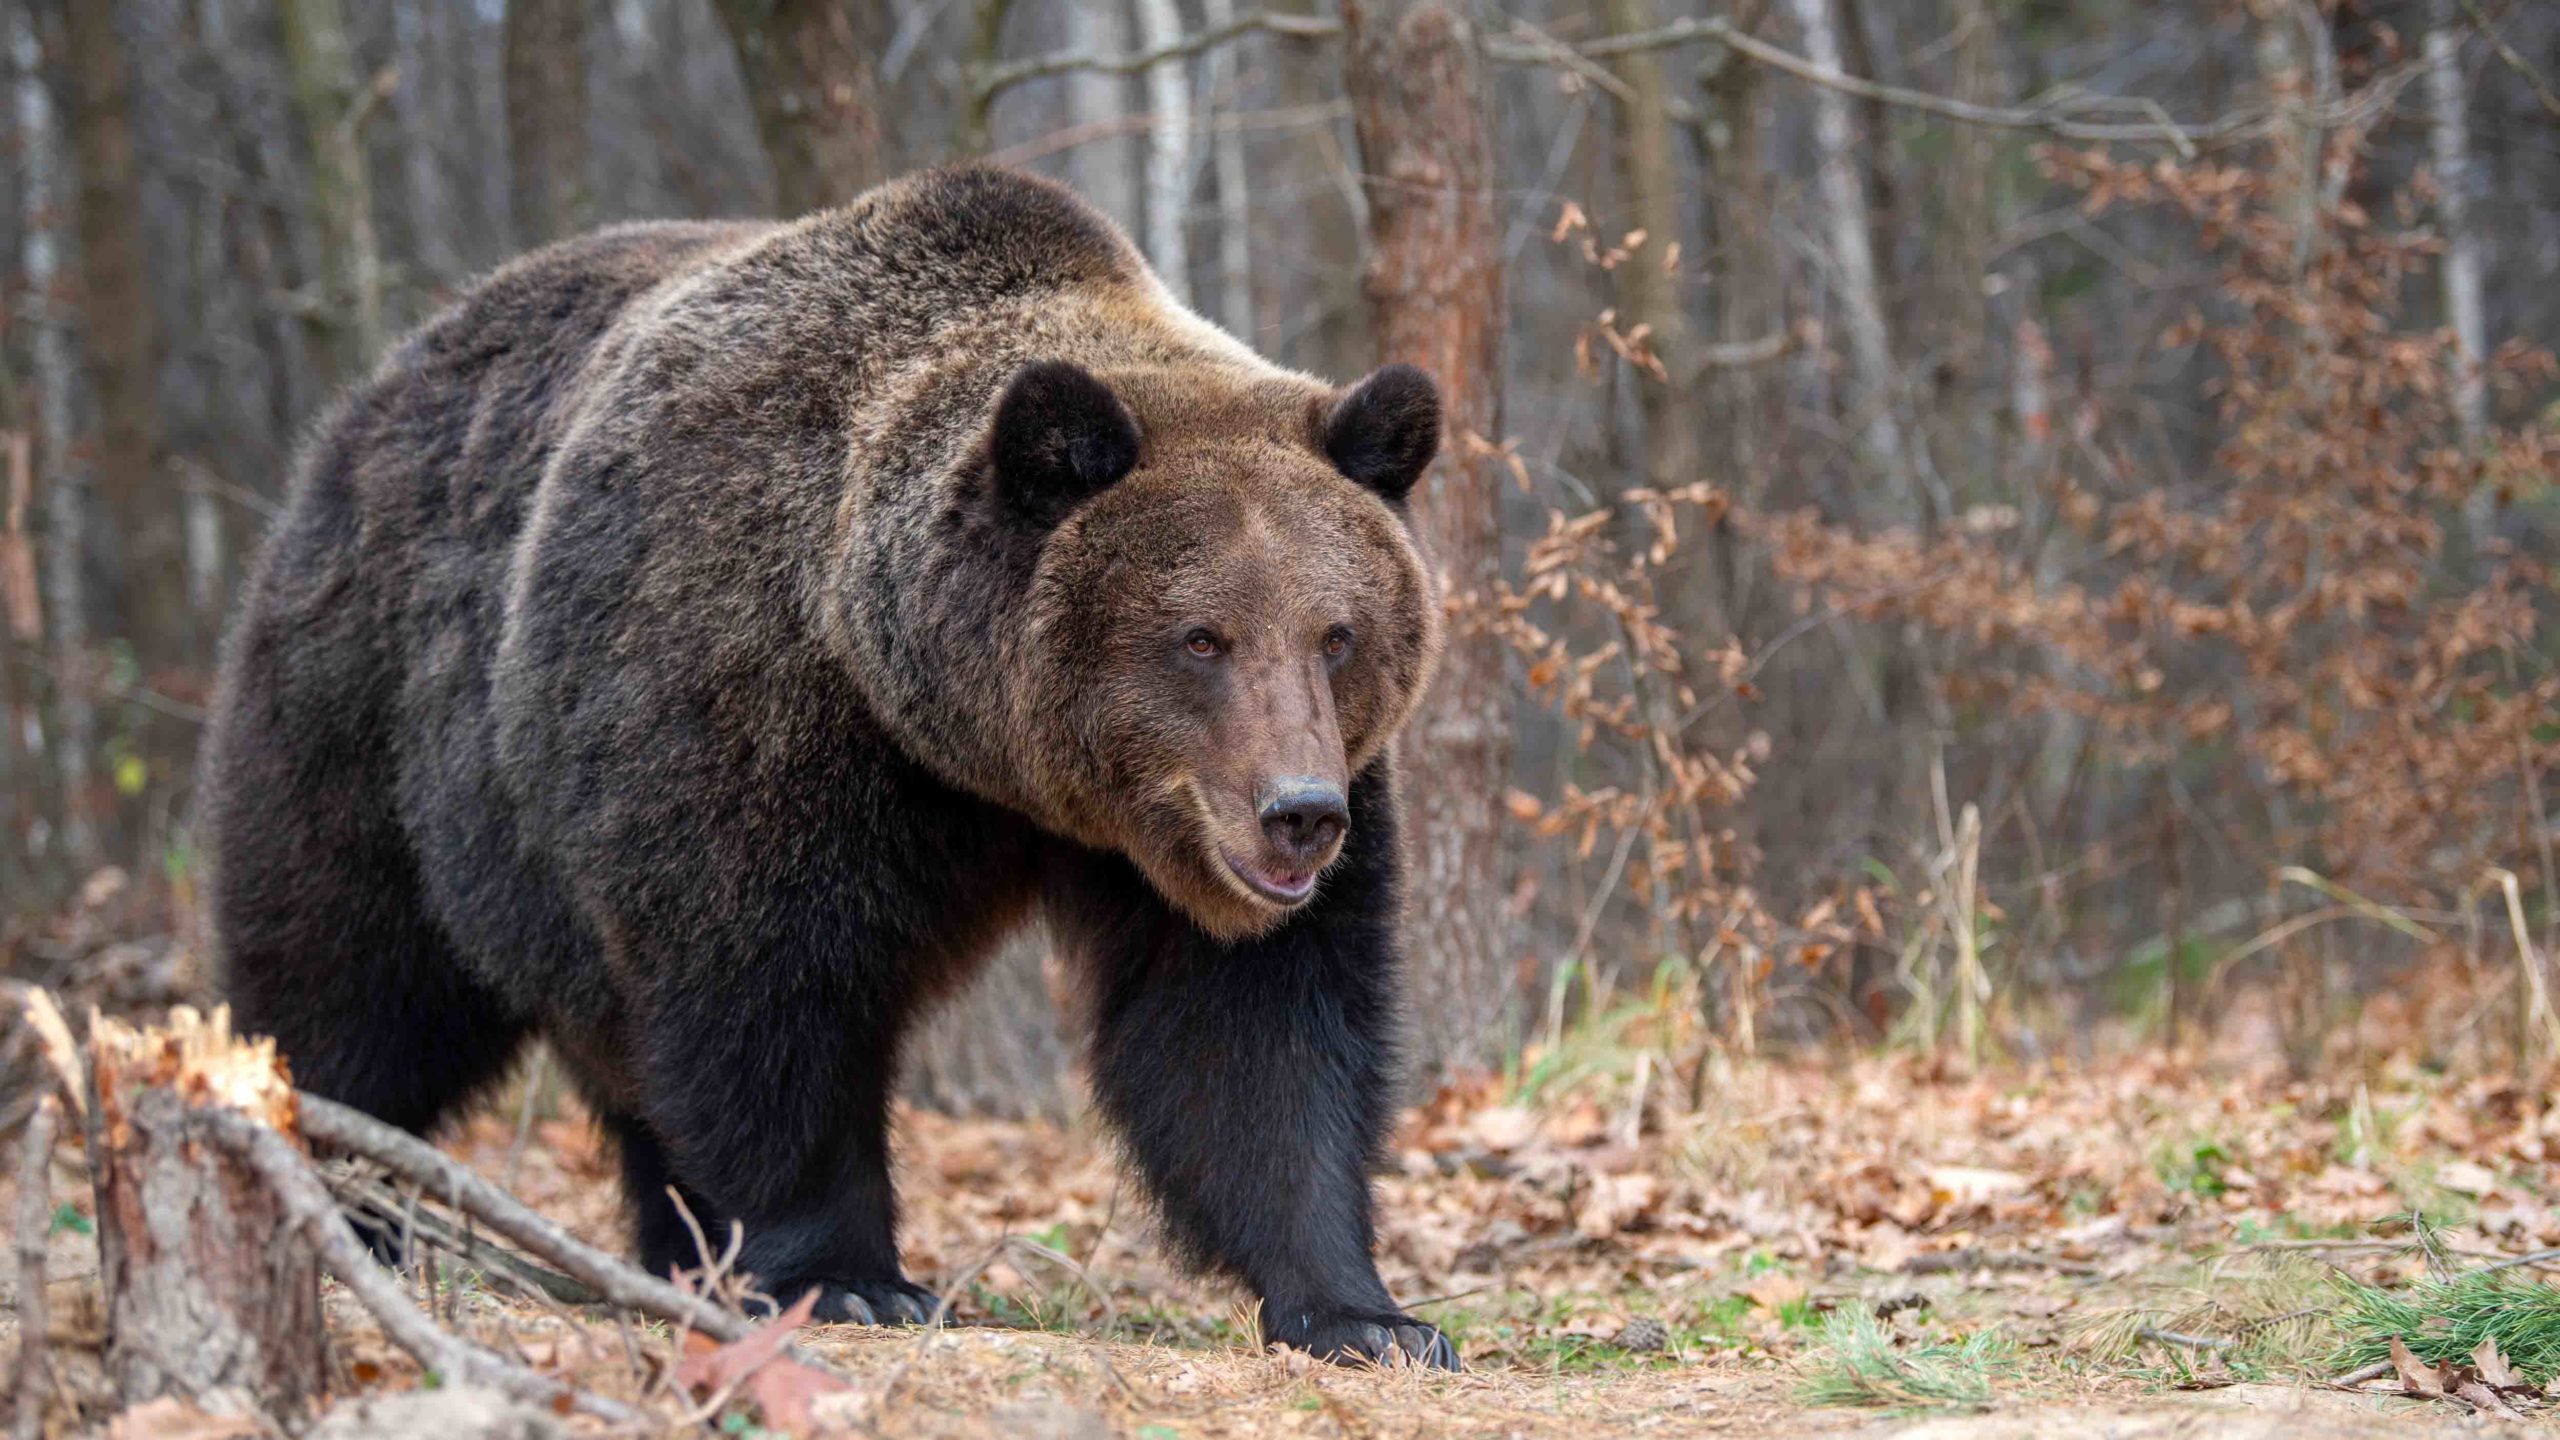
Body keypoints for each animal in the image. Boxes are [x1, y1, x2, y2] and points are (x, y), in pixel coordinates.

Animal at [202, 162, 1464, 1363]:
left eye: (1336, 632)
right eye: (1199, 636)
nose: (1298, 815)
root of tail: (376, 389)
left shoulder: (1198, 838)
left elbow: (1253, 1030)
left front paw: (1367, 1315)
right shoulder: (750, 711)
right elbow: (765, 994)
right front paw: (853, 1277)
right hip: (375, 722)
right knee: (352, 979)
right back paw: (340, 1197)